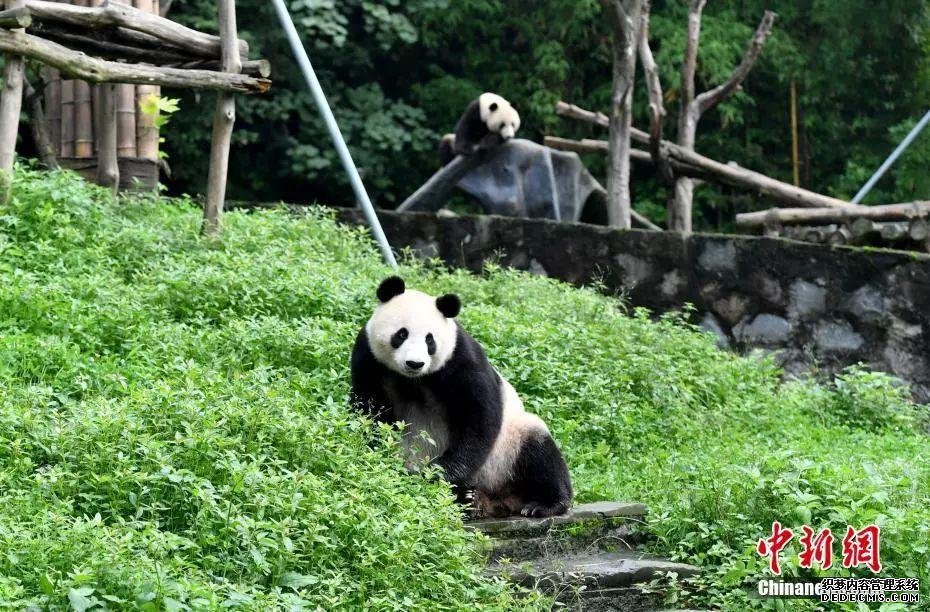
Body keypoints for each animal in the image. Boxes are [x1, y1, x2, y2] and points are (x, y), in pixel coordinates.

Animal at [348, 274, 568, 520]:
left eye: (430, 340)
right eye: (401, 334)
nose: (415, 363)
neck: (413, 380)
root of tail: (502, 499)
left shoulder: (460, 359)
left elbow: (478, 419)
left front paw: (438, 475)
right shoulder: (369, 357)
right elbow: (369, 410)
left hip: (507, 451)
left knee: (539, 451)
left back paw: (543, 504)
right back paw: (470, 500)